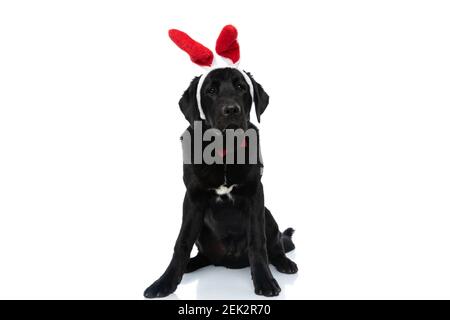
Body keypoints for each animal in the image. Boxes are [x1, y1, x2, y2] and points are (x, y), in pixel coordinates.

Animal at [144, 26, 298, 298]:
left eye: (241, 87)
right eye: (211, 91)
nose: (231, 110)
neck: (224, 151)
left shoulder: (255, 194)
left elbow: (258, 242)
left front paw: (265, 281)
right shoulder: (192, 199)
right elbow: (181, 243)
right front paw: (164, 283)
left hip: (267, 213)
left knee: (277, 242)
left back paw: (284, 263)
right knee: (201, 254)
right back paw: (191, 265)